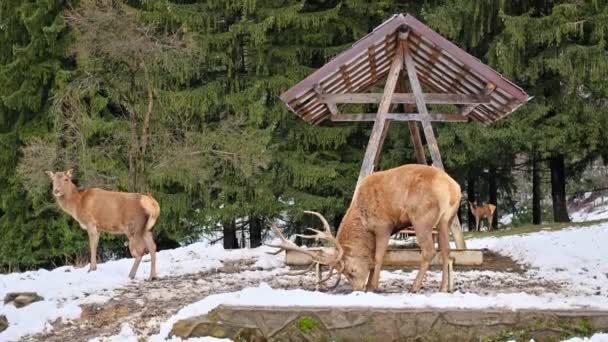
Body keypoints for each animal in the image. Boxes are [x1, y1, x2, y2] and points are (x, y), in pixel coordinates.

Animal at [270, 164, 460, 292]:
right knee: (446, 250)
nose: (357, 289)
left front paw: (372, 286)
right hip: (446, 220)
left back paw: (414, 286)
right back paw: (443, 287)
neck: (363, 221)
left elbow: (377, 257)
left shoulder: (383, 225)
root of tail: (454, 188)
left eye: (351, 270)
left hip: (421, 217)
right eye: (346, 274)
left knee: (429, 250)